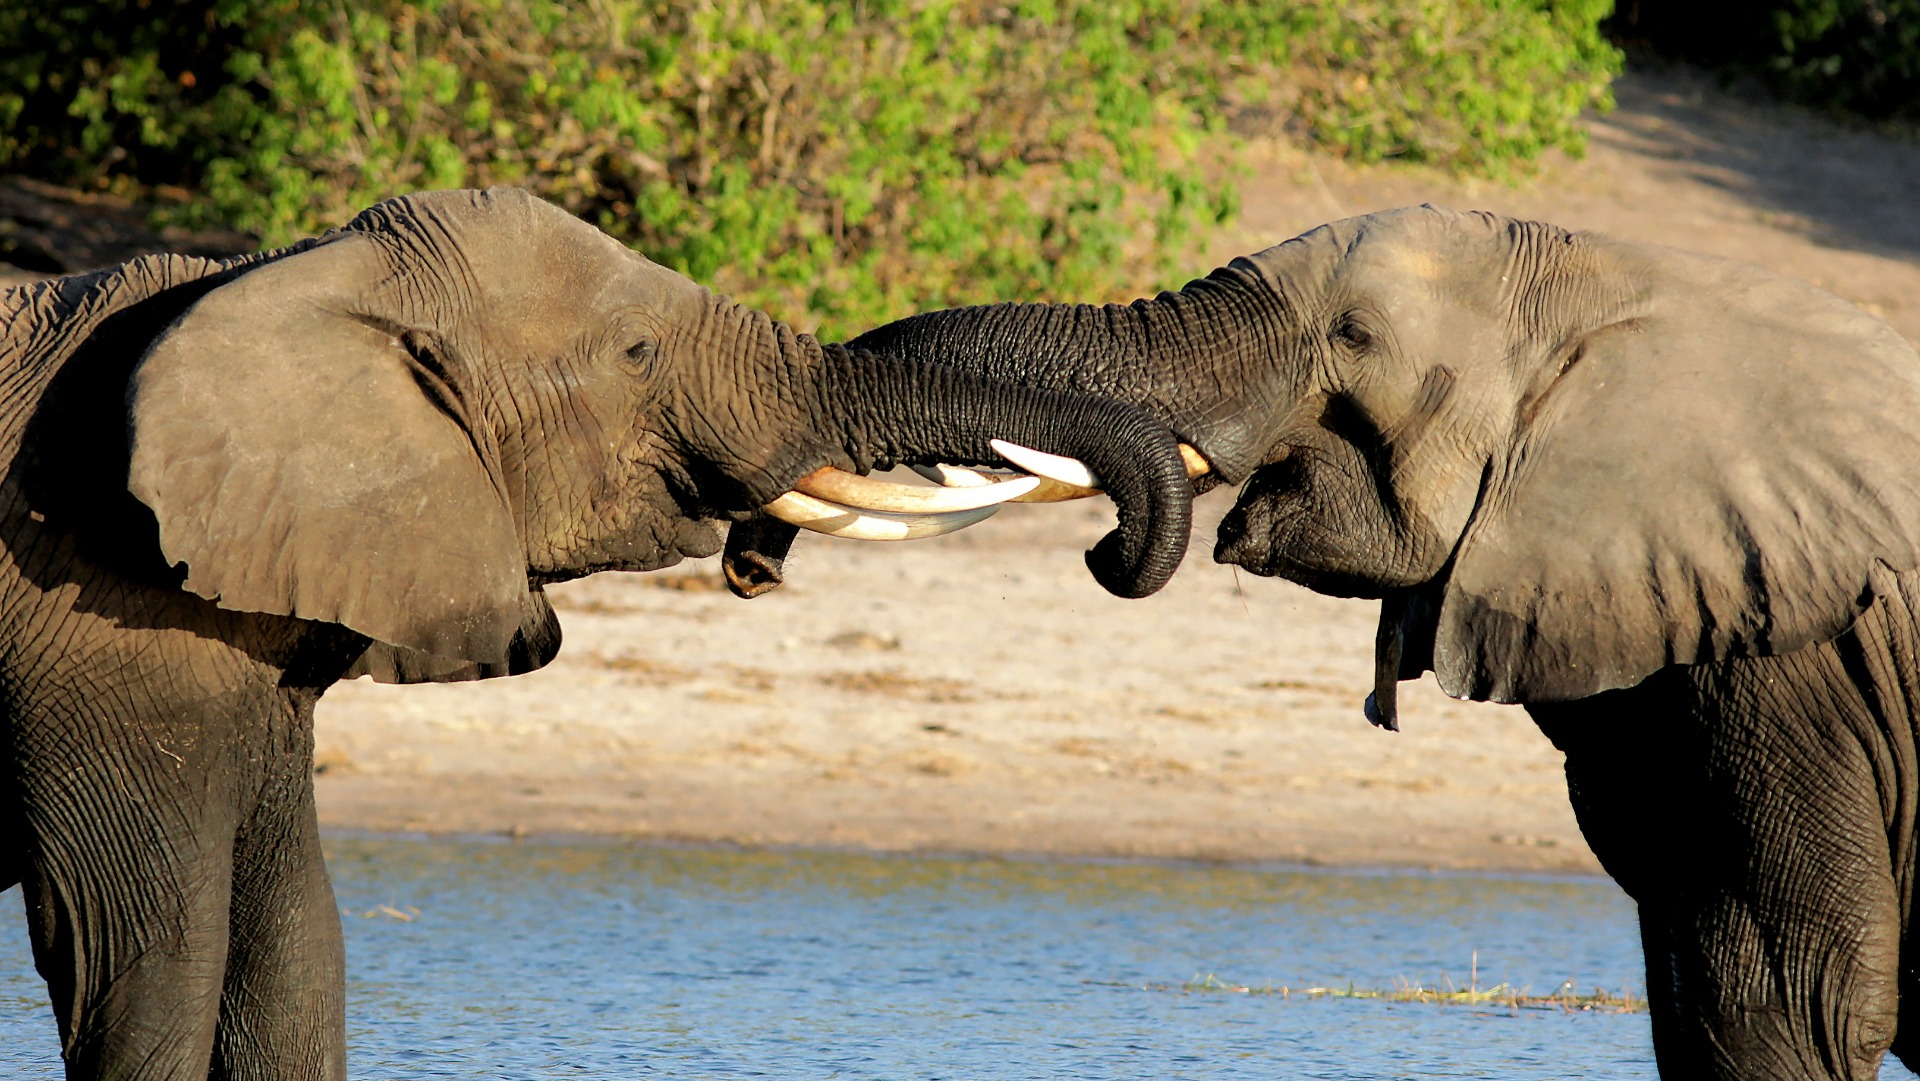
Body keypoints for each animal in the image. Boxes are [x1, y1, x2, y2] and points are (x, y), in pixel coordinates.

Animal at [0, 186, 1197, 1080]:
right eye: (636, 351)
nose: (1110, 554)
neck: (289, 281)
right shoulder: (96, 621)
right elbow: (152, 954)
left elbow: (293, 946)